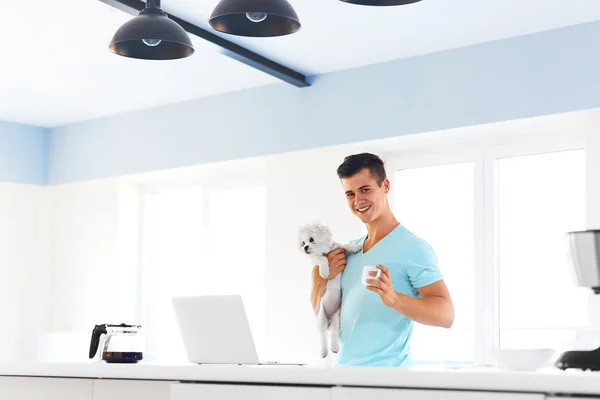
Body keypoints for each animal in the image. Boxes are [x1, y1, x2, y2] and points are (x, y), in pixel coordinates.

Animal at [298, 222, 364, 360]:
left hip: (335, 320)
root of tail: (328, 323)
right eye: (303, 242)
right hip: (321, 321)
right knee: (323, 339)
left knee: (333, 336)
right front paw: (325, 272)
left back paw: (334, 348)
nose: (305, 247)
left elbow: (345, 246)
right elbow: (322, 259)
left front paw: (355, 247)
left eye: (311, 239)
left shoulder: (341, 251)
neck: (327, 251)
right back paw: (324, 352)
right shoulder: (317, 260)